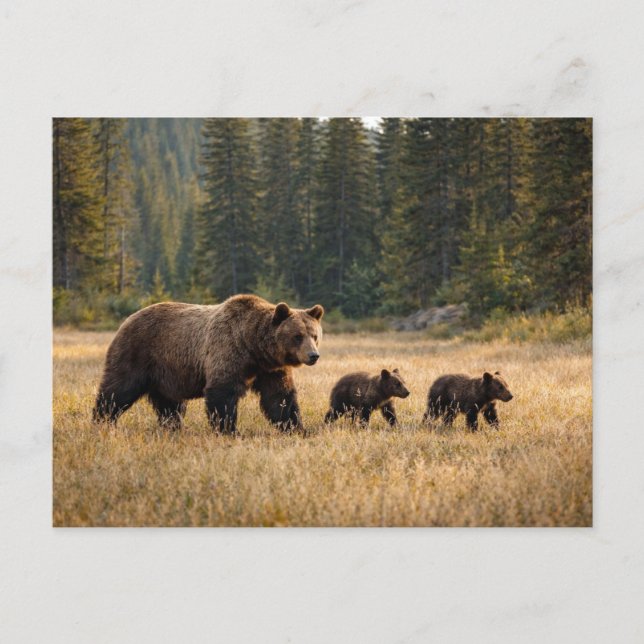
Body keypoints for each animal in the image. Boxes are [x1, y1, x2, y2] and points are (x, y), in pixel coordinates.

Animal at [93, 295, 324, 434]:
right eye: (297, 336)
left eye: (314, 335)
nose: (313, 355)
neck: (253, 347)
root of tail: (128, 318)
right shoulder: (227, 351)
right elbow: (222, 393)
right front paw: (230, 431)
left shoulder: (270, 369)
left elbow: (279, 398)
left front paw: (297, 428)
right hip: (138, 353)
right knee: (118, 390)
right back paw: (101, 420)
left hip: (166, 372)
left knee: (169, 404)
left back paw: (174, 427)